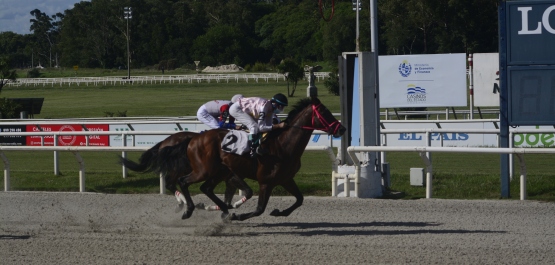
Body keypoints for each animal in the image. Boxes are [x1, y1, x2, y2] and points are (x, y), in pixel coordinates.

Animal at [176, 95, 346, 221]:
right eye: (325, 113)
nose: (342, 129)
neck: (283, 145)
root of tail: (194, 138)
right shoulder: (266, 182)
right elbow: (259, 209)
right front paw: (238, 216)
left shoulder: (286, 179)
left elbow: (300, 199)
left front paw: (279, 212)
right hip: (203, 170)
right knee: (183, 181)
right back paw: (189, 210)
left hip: (220, 171)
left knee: (206, 188)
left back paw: (224, 210)